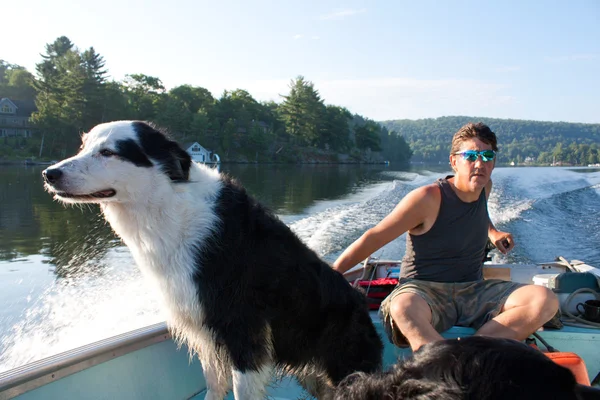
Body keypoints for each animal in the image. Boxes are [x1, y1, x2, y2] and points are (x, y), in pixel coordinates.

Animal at [42, 120, 382, 398]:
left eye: (109, 152)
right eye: (83, 147)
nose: (49, 173)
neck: (167, 206)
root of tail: (361, 303)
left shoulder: (242, 328)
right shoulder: (203, 327)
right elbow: (214, 385)